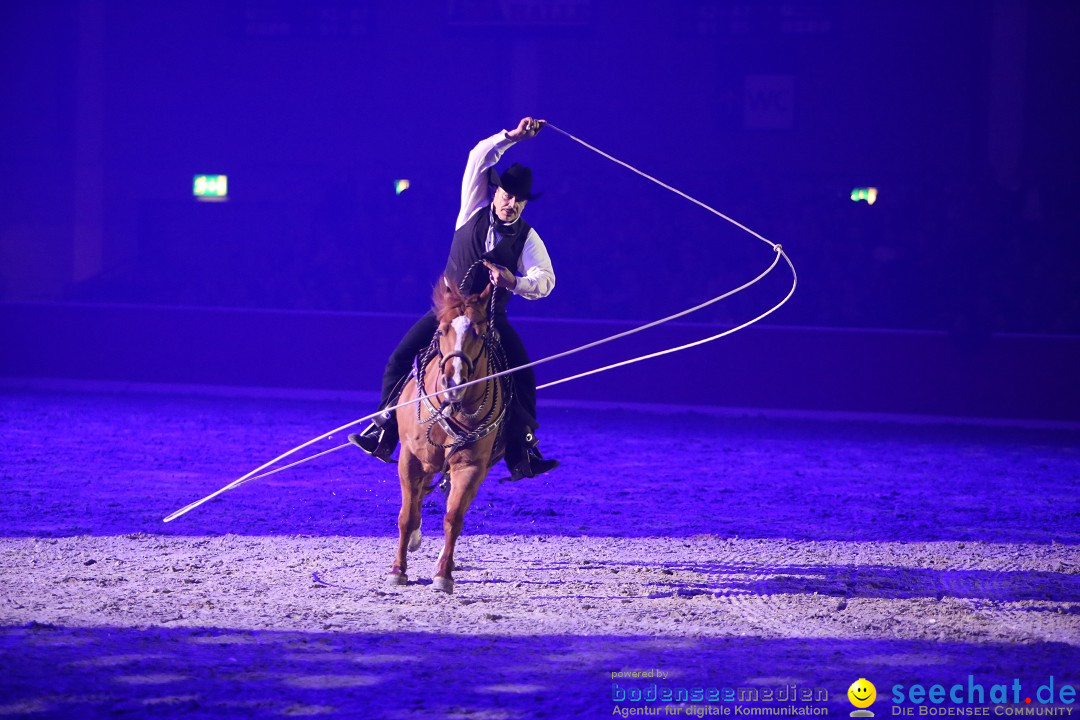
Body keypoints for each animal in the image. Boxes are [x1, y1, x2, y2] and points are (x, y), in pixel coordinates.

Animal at [386, 278, 507, 595]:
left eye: (479, 332)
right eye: (441, 330)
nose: (453, 382)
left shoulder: (471, 467)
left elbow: (453, 518)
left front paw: (443, 574)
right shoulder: (410, 458)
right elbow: (406, 516)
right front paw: (397, 570)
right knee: (416, 500)